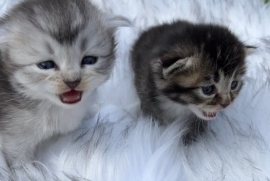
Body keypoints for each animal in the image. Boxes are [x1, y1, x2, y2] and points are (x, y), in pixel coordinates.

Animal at [0, 0, 127, 168]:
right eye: (46, 65)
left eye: (89, 60)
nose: (72, 81)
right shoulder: (14, 137)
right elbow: (19, 160)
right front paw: (29, 170)